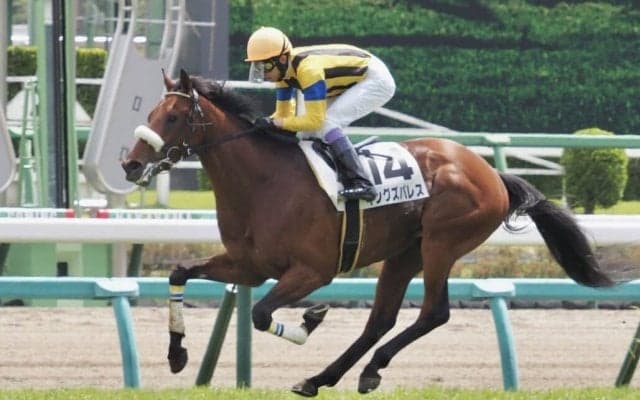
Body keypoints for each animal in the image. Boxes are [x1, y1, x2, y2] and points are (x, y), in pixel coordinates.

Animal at [121, 69, 615, 396]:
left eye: (172, 117)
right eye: (151, 110)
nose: (130, 163)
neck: (264, 182)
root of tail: (491, 173)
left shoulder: (313, 270)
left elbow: (261, 314)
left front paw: (310, 320)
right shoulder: (248, 265)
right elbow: (179, 273)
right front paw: (177, 355)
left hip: (442, 243)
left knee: (433, 313)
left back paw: (367, 369)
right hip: (404, 252)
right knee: (381, 319)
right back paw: (324, 378)